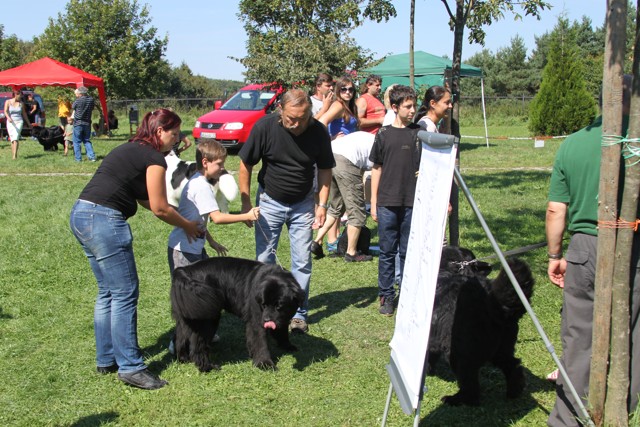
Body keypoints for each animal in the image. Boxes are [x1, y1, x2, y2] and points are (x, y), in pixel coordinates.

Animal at [171, 257, 305, 372]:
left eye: (278, 306)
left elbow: (282, 333)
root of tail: (183, 270)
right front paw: (265, 364)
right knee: (197, 346)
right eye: (264, 304)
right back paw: (207, 367)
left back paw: (183, 358)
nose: (266, 319)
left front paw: (288, 346)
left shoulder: (282, 318)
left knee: (180, 337)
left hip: (187, 315)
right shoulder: (256, 320)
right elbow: (260, 342)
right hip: (207, 318)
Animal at [427, 246, 535, 406]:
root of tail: (494, 305)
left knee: (470, 384)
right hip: (502, 347)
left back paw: (456, 399)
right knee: (513, 364)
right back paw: (515, 390)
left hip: (459, 353)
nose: (488, 266)